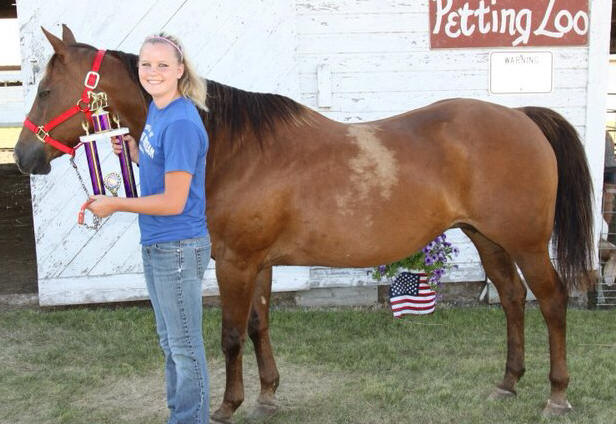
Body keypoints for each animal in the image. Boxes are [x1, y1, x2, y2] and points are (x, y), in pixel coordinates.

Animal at [14, 27, 592, 420]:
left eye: (45, 91)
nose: (23, 157)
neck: (231, 148)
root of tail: (520, 117)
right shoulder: (259, 263)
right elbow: (258, 325)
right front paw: (268, 394)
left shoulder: (236, 263)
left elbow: (229, 334)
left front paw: (228, 405)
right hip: (488, 239)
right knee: (513, 300)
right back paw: (508, 383)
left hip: (526, 243)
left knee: (551, 301)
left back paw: (557, 394)